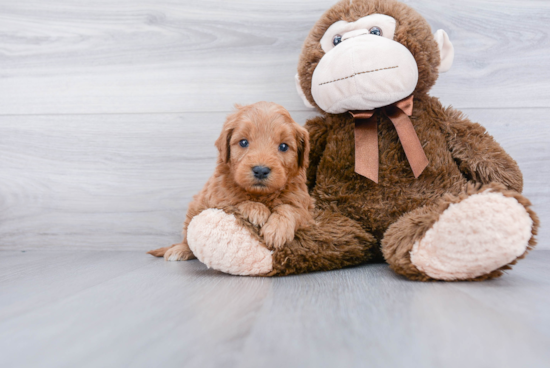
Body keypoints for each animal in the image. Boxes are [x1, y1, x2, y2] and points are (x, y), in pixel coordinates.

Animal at [149, 101, 314, 262]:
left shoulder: (305, 205)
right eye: (243, 142)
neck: (260, 194)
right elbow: (236, 201)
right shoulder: (218, 197)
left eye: (284, 146)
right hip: (193, 210)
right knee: (188, 238)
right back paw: (179, 250)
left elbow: (290, 209)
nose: (261, 170)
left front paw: (277, 230)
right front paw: (257, 210)